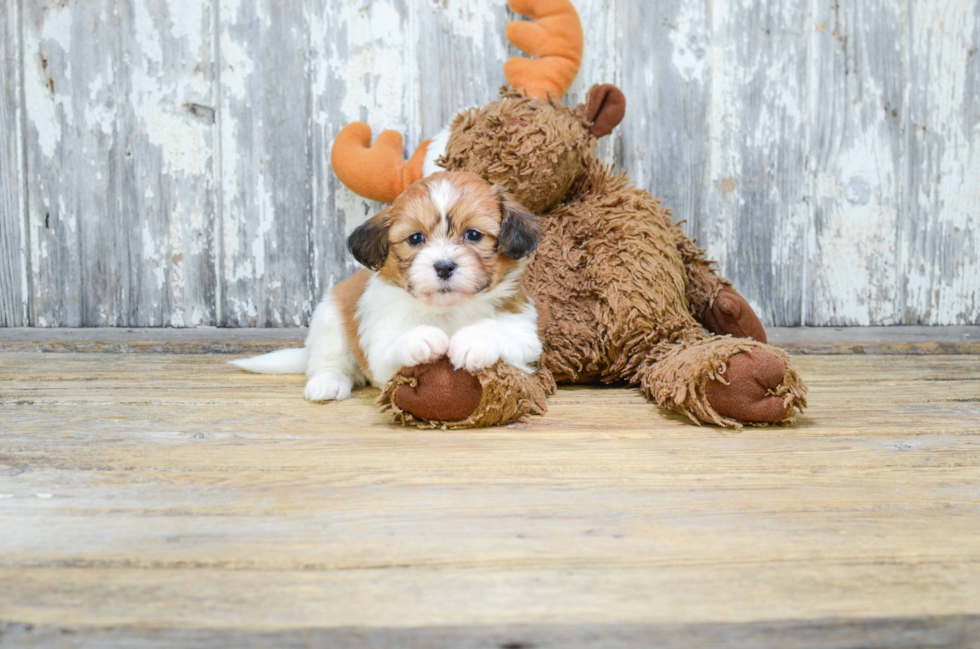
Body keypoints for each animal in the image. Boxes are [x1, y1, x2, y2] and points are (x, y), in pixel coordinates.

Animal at [234, 170, 548, 400]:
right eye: (416, 238)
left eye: (473, 235)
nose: (444, 266)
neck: (447, 310)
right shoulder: (380, 347)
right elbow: (392, 345)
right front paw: (422, 337)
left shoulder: (524, 333)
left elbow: (504, 333)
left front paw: (474, 341)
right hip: (329, 321)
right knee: (329, 360)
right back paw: (328, 382)